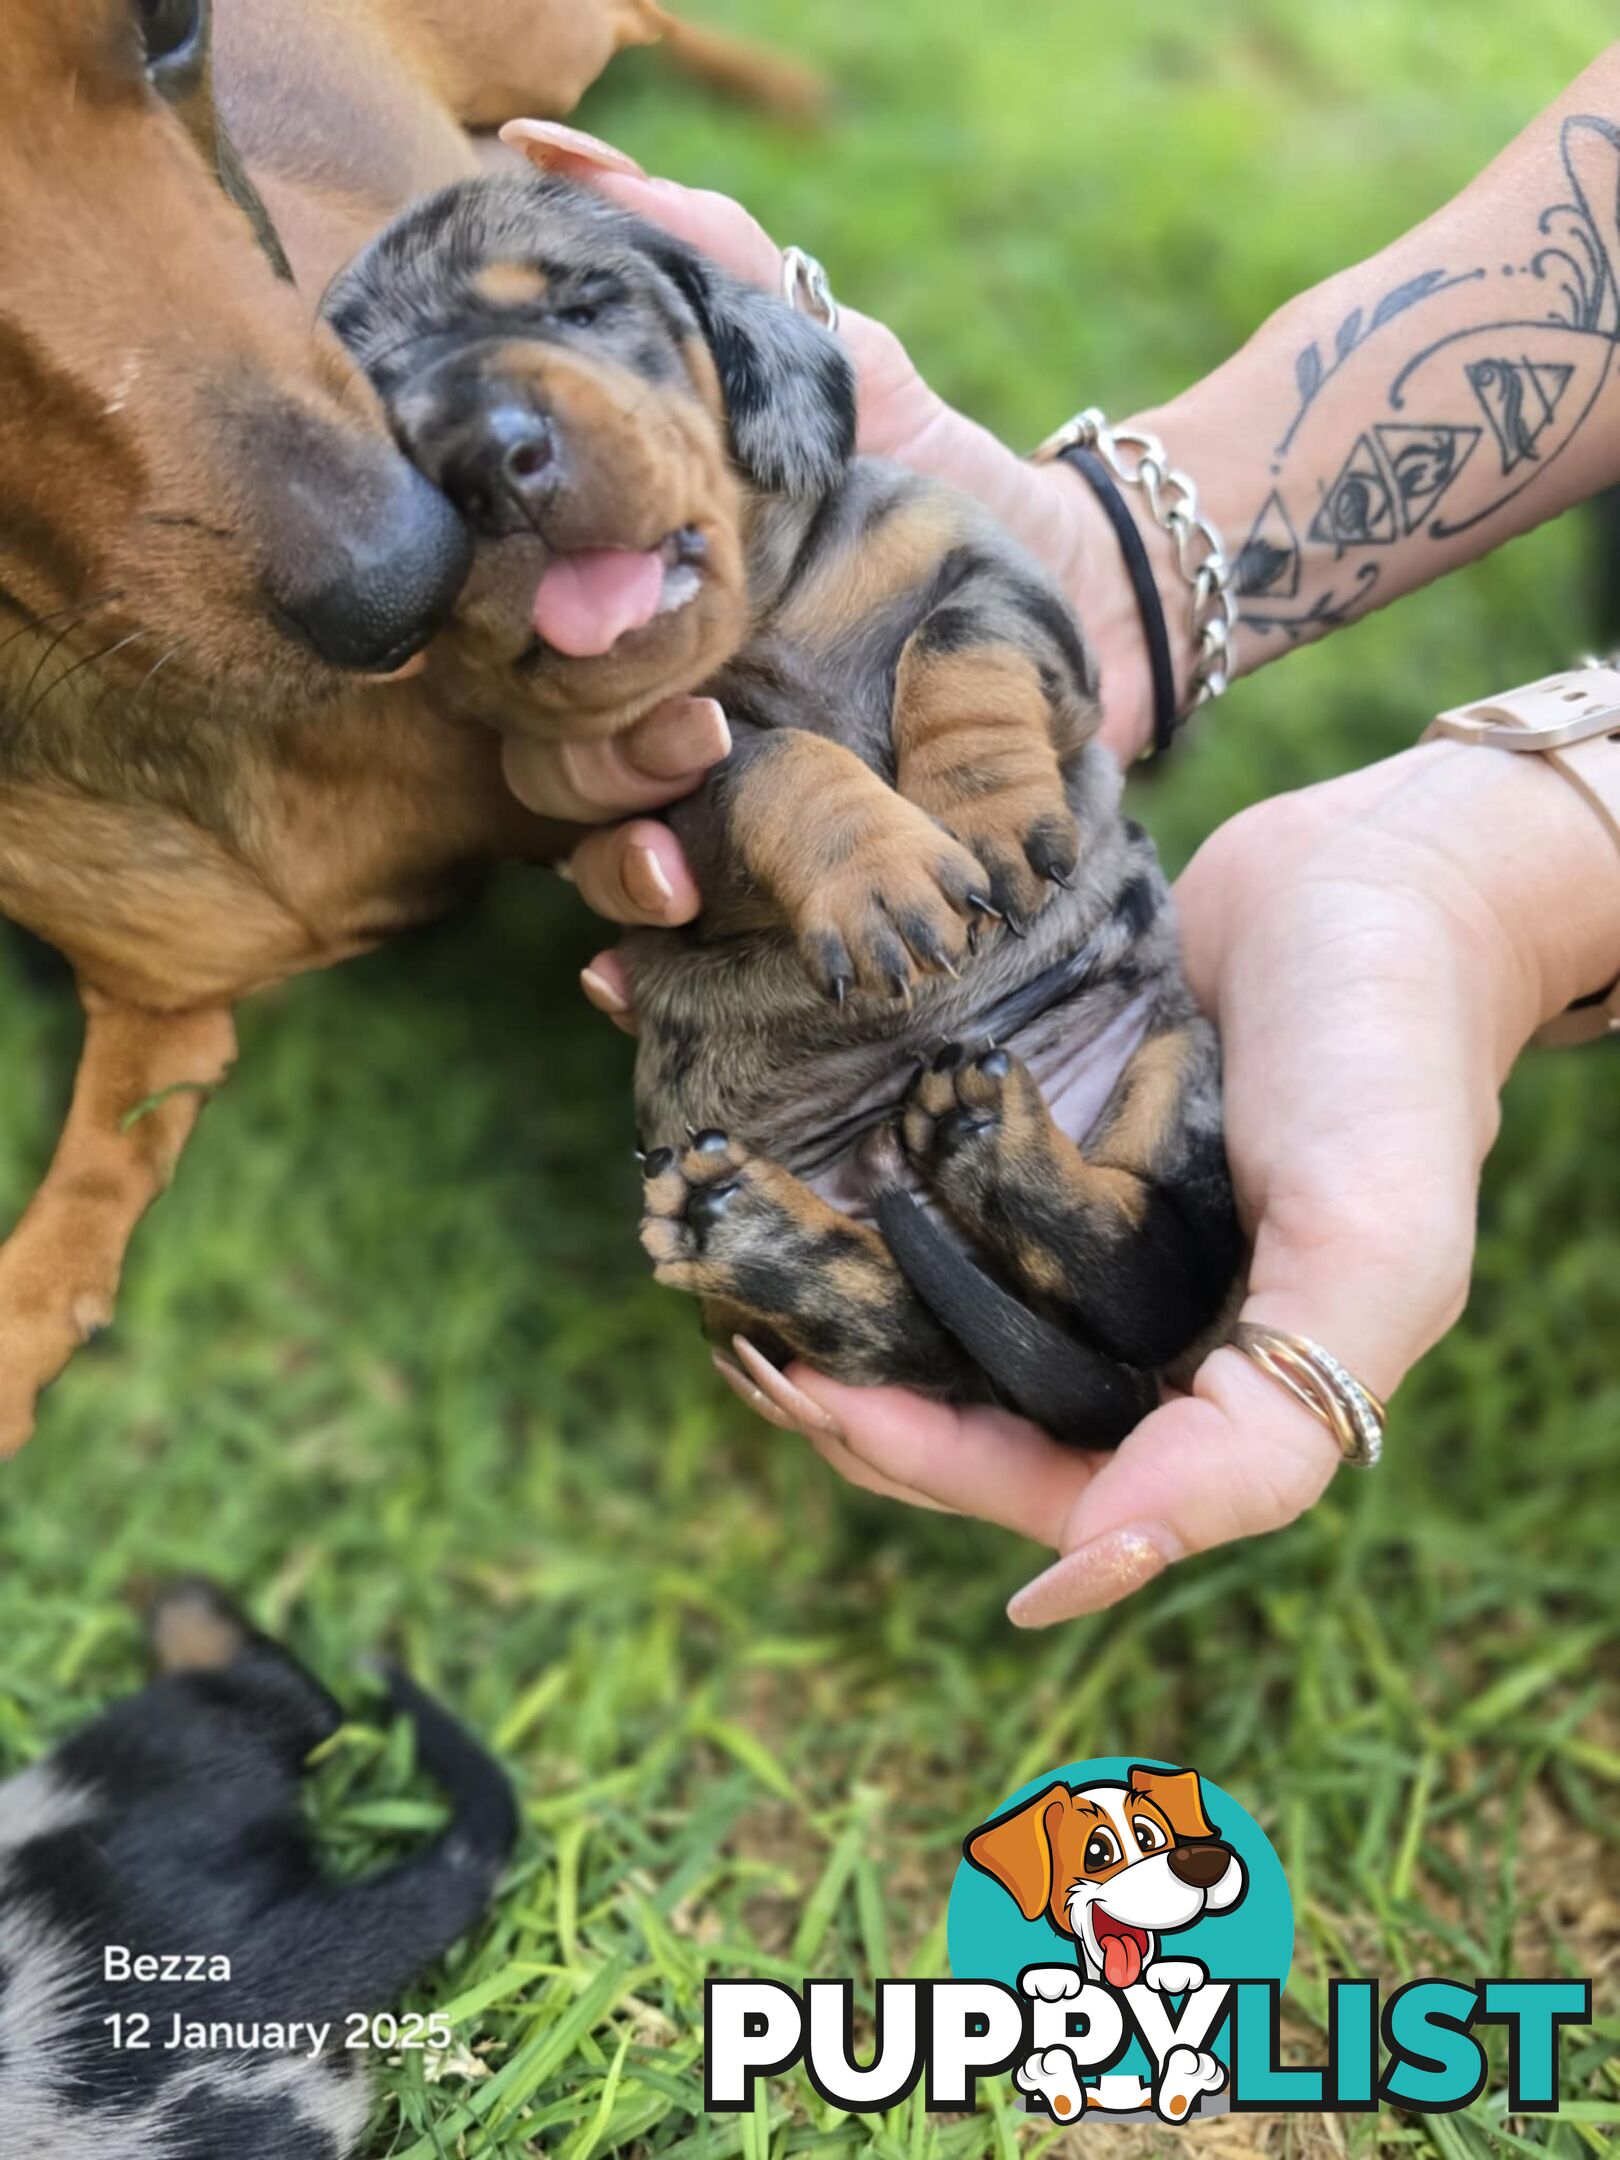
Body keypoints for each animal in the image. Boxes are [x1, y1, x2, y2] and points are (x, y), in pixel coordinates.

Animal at [326, 172, 1244, 1451]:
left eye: (583, 307)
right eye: (386, 413)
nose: (488, 463)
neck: (759, 618)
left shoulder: (999, 579)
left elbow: (956, 642)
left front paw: (985, 813)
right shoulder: (661, 793)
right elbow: (772, 761)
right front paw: (880, 878)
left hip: (1172, 1070)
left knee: (1151, 1265)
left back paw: (992, 1149)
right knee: (906, 1319)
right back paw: (768, 1227)